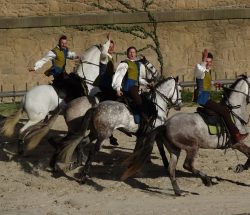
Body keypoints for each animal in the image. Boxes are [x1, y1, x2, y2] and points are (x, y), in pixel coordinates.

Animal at [53, 76, 182, 181]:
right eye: (180, 90)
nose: (180, 105)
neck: (156, 105)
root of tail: (95, 108)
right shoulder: (155, 133)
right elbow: (160, 149)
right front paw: (166, 165)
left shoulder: (142, 136)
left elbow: (137, 150)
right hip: (99, 134)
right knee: (87, 149)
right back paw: (82, 174)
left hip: (92, 133)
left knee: (78, 143)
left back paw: (70, 164)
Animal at [122, 74, 250, 196]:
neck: (235, 112)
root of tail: (165, 125)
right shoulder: (237, 143)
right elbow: (249, 154)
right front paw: (242, 167)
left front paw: (241, 167)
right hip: (192, 147)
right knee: (187, 165)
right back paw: (206, 180)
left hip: (175, 150)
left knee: (171, 169)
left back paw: (178, 191)